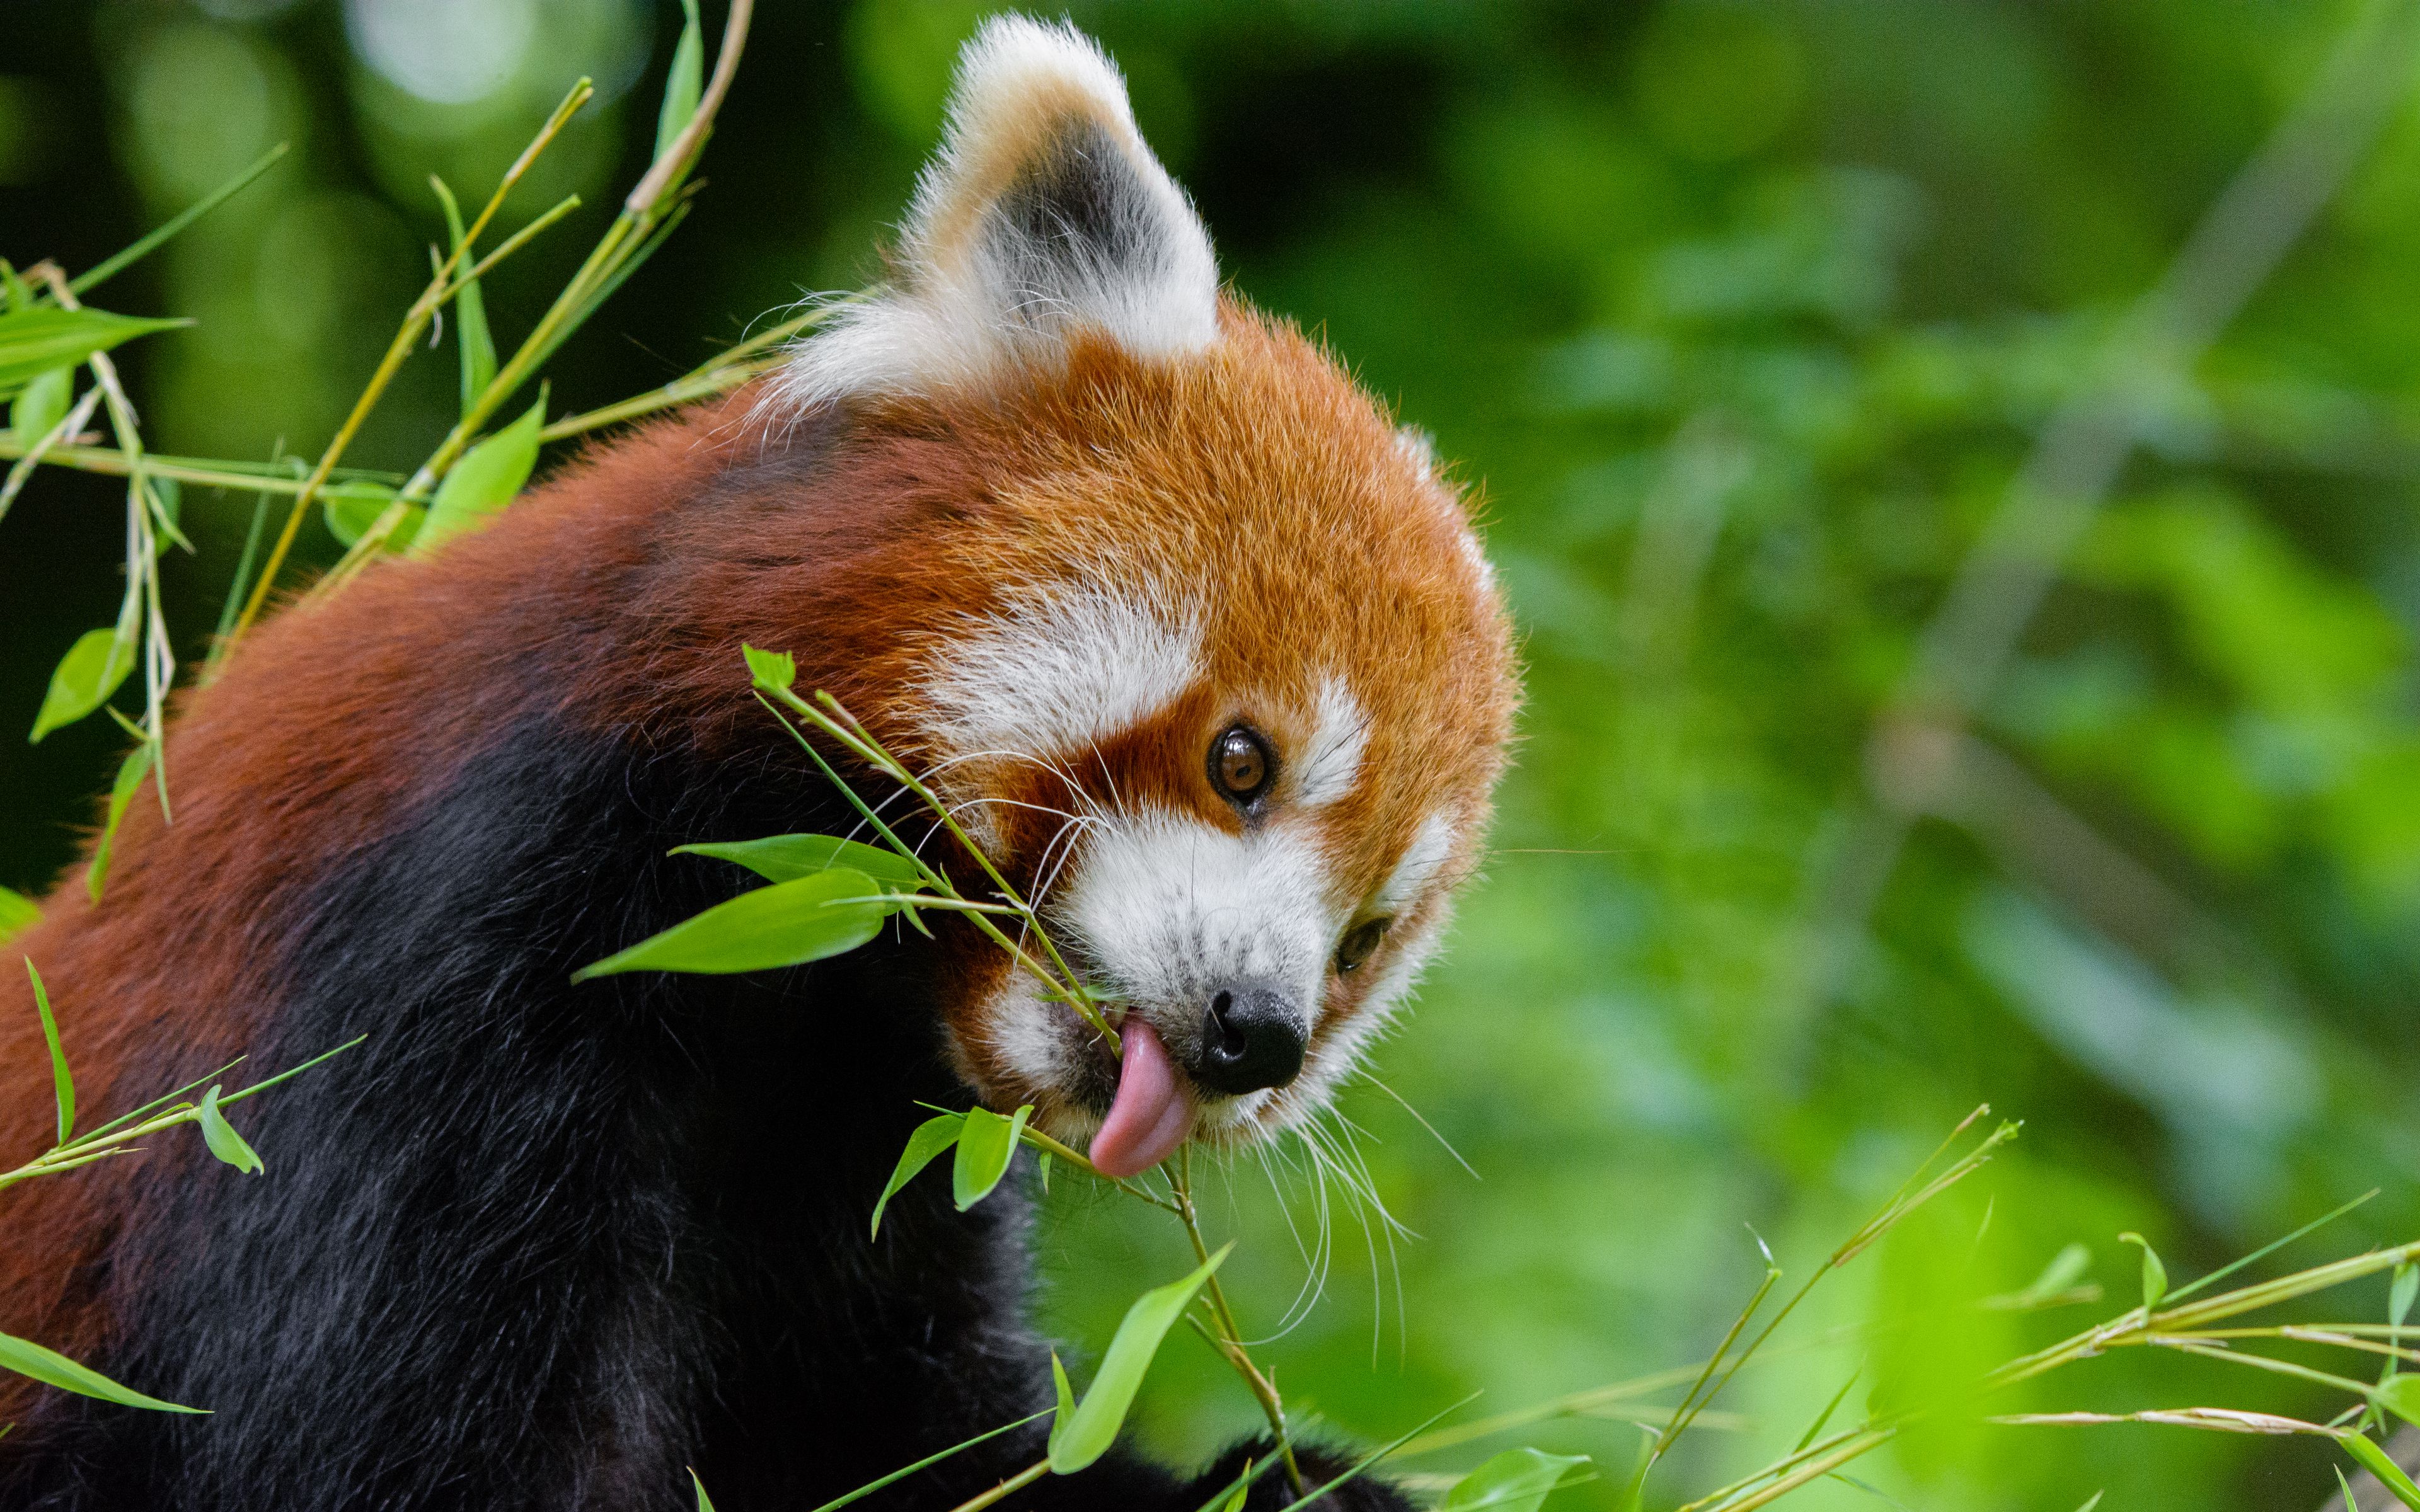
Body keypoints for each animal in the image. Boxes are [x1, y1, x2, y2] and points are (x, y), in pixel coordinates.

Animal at [0, 14, 1510, 1509]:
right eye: (1242, 762)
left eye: (1366, 939)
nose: (1259, 1035)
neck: (779, 969)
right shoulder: (400, 1005)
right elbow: (391, 1448)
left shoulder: (857, 1163)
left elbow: (905, 1445)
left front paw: (1296, 1483)